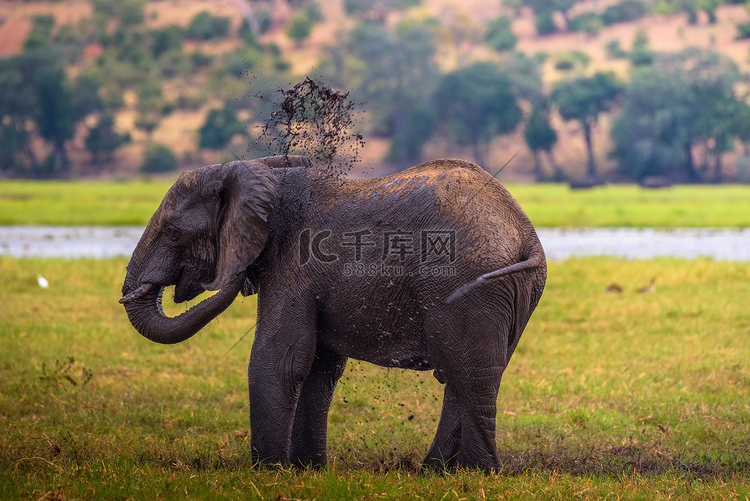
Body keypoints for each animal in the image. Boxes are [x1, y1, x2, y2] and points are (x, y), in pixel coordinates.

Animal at [122, 154, 548, 470]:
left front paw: (266, 471)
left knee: (470, 372)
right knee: (468, 372)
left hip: (467, 283)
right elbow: (319, 369)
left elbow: (279, 360)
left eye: (173, 231)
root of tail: (526, 234)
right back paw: (435, 472)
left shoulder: (296, 262)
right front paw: (307, 469)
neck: (262, 175)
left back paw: (476, 473)